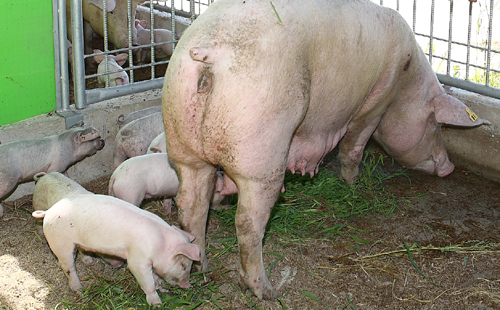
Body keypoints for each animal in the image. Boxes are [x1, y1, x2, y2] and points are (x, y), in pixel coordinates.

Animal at [31, 195, 201, 306]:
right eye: (183, 265)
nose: (187, 285)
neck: (160, 244)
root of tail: (48, 212)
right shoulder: (138, 259)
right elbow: (147, 282)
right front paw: (157, 304)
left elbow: (154, 276)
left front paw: (162, 287)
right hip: (61, 243)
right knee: (67, 266)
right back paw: (80, 290)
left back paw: (89, 263)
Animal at [161, 0, 492, 300]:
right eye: (436, 124)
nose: (449, 167)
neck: (407, 79)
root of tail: (208, 54)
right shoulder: (376, 100)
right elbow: (354, 145)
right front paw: (353, 184)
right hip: (260, 152)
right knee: (247, 222)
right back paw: (266, 292)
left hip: (182, 144)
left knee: (190, 204)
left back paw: (202, 268)